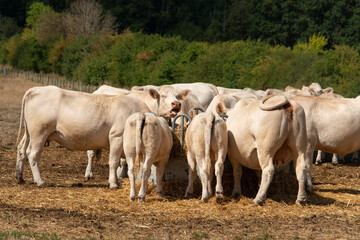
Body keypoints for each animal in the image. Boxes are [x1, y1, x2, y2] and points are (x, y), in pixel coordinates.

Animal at [15, 85, 150, 188]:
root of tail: (36, 89)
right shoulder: (117, 137)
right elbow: (114, 162)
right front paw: (113, 183)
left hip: (29, 133)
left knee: (22, 149)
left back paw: (19, 177)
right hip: (39, 133)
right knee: (32, 154)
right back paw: (40, 181)